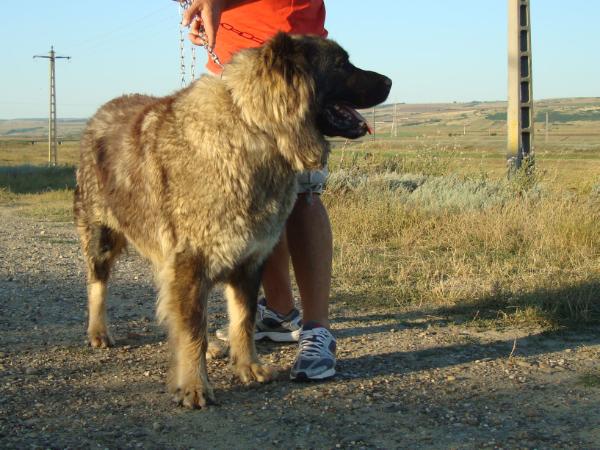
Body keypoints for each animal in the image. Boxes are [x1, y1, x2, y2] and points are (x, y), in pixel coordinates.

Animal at [75, 32, 392, 408]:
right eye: (342, 64)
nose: (389, 81)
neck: (253, 126)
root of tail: (98, 115)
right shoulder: (190, 261)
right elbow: (192, 329)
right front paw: (194, 385)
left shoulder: (249, 259)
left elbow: (242, 318)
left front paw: (248, 367)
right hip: (102, 235)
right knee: (98, 284)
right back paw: (99, 331)